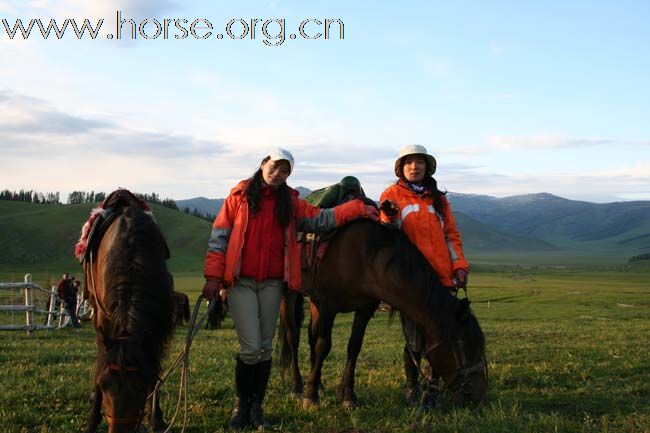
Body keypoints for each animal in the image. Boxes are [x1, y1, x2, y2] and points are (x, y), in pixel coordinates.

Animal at [278, 219, 486, 408]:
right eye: (464, 345)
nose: (478, 395)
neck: (366, 259)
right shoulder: (329, 305)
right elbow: (323, 346)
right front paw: (310, 396)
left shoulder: (364, 309)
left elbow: (354, 347)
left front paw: (348, 396)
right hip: (289, 293)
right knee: (293, 338)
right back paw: (297, 386)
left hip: (314, 300)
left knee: (310, 336)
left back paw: (319, 384)